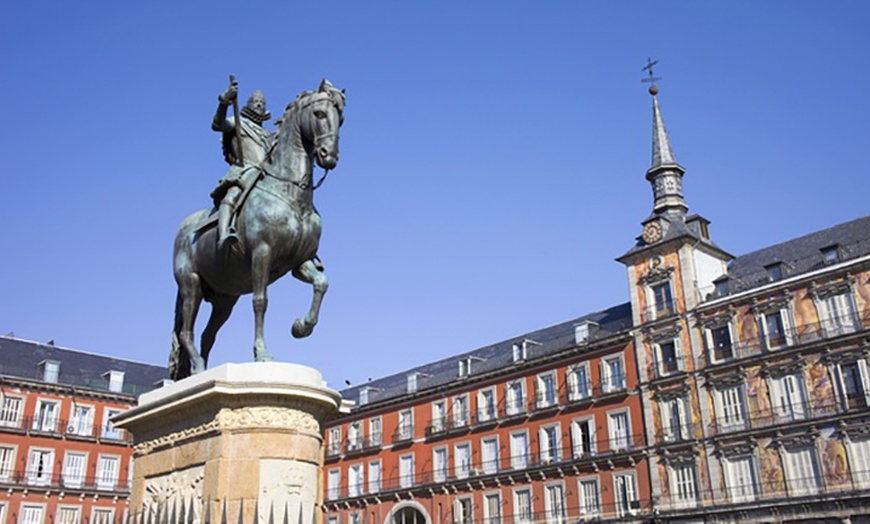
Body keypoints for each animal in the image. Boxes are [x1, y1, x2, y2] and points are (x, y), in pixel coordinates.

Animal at [169, 79, 346, 380]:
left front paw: (301, 327)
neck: (292, 196)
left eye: (341, 119)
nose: (329, 156)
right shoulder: (262, 254)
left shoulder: (299, 263)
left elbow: (322, 283)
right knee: (186, 332)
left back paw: (200, 371)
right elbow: (260, 301)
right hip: (191, 284)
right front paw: (262, 354)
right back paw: (198, 367)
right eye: (319, 114)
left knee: (207, 335)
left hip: (225, 299)